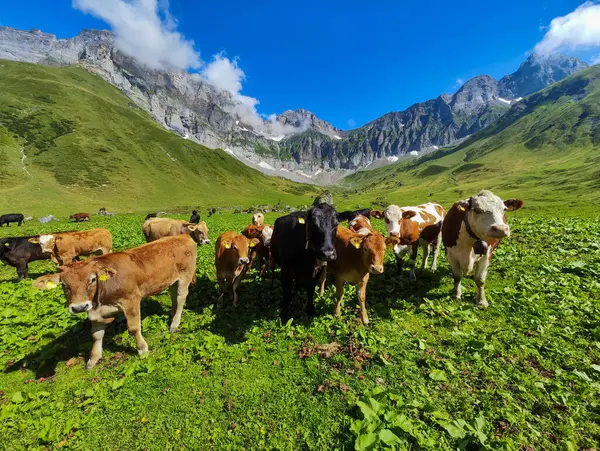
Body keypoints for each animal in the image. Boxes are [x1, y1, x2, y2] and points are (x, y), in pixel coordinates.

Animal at [33, 235, 197, 370]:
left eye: (92, 279)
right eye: (64, 284)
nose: (79, 307)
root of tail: (184, 236)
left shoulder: (131, 300)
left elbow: (134, 328)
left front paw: (142, 349)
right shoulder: (96, 313)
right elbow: (96, 335)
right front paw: (93, 359)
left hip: (185, 277)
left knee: (181, 298)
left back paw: (174, 323)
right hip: (171, 281)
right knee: (174, 297)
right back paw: (172, 314)